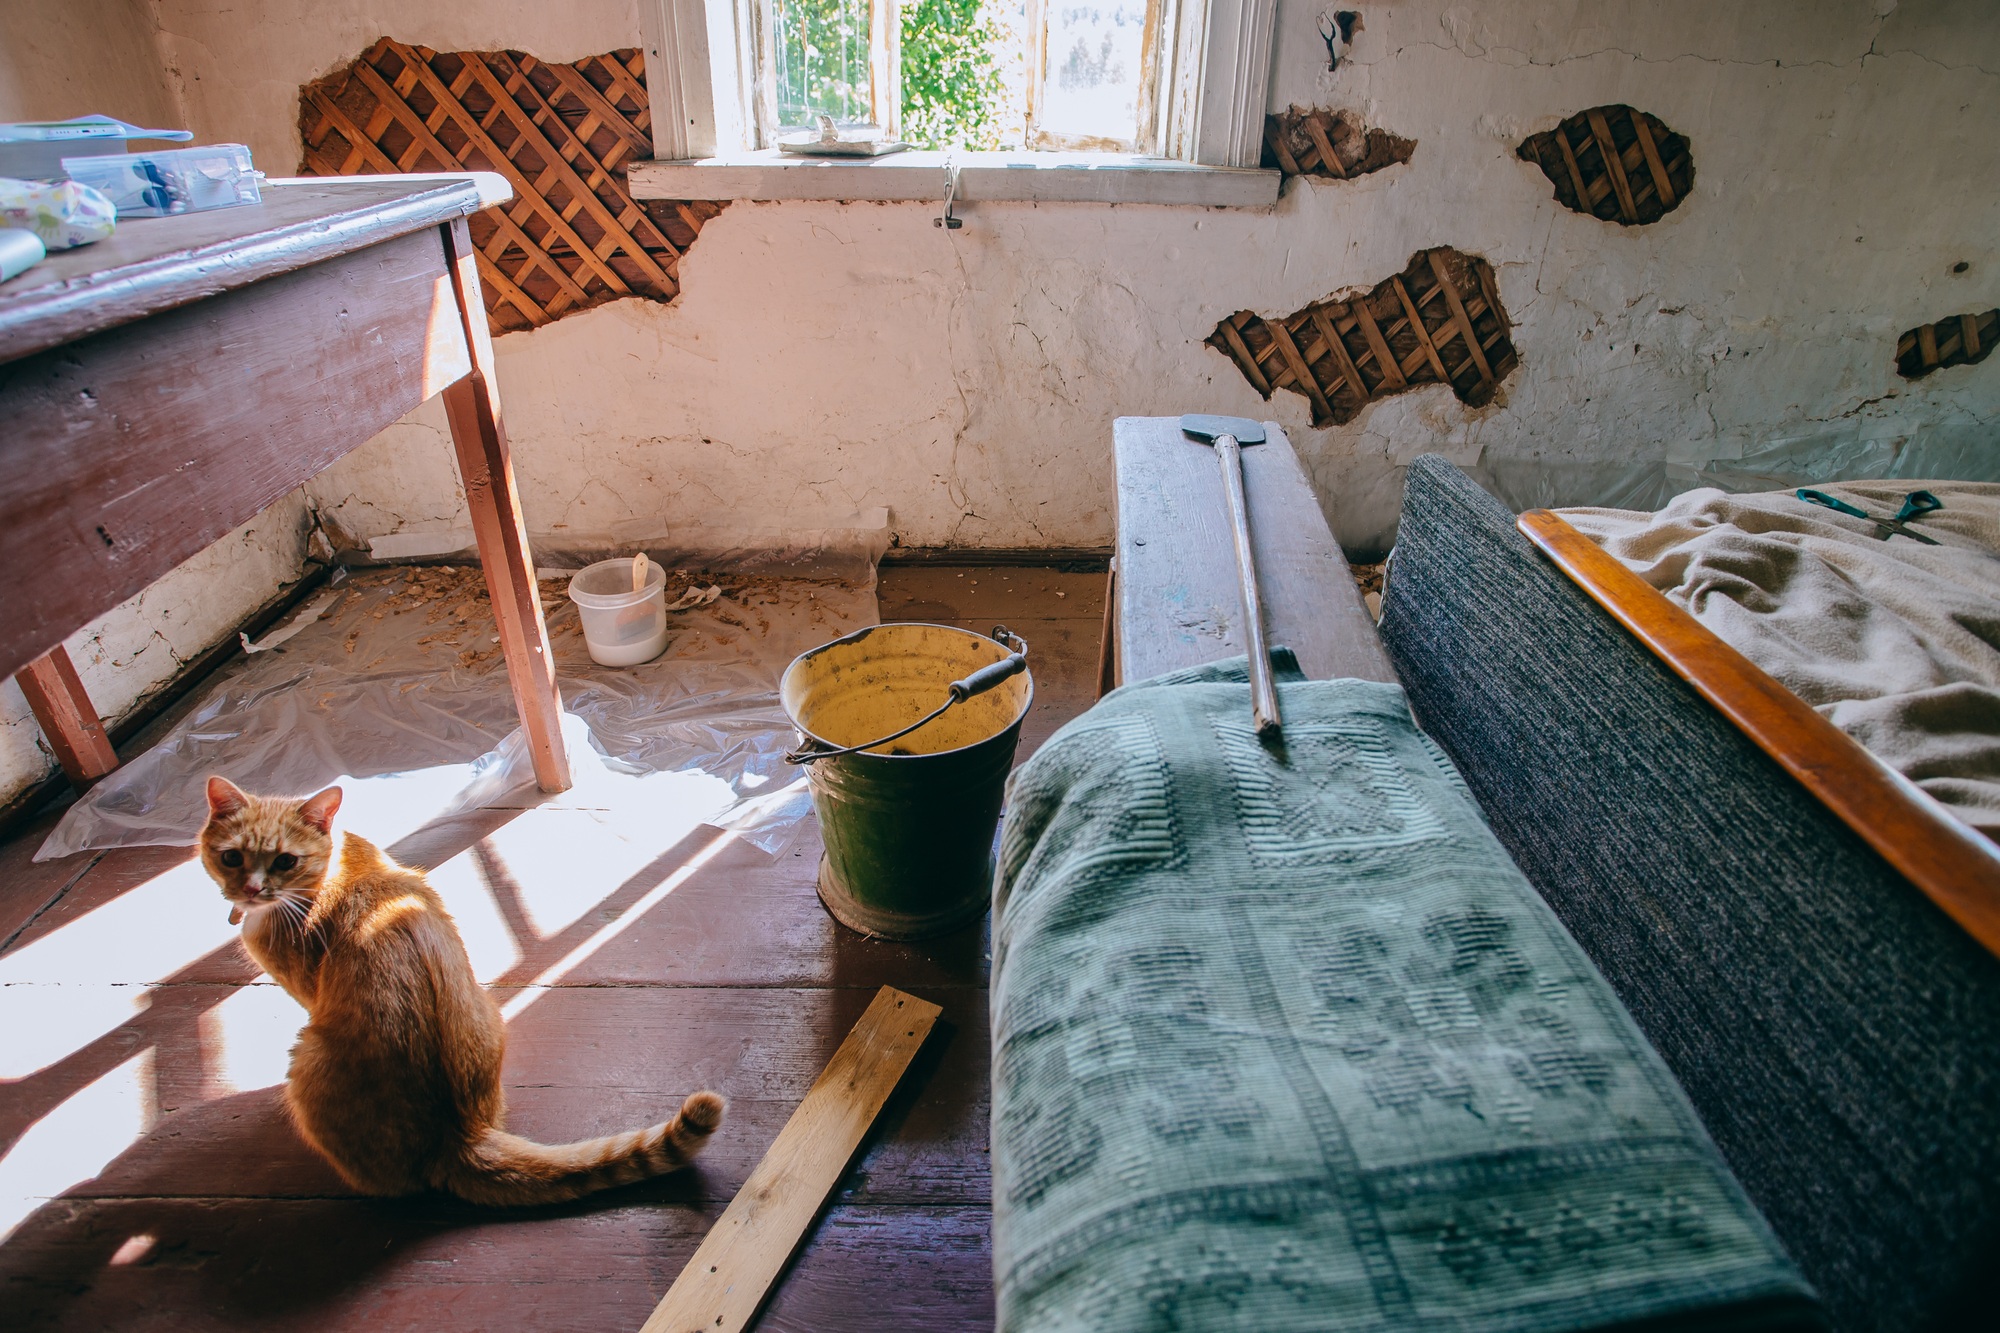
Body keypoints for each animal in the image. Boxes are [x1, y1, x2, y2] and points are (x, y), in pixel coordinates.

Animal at [195, 772, 724, 1200]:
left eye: (285, 861)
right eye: (231, 857)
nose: (250, 891)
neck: (335, 869)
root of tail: (457, 1136)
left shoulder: (303, 988)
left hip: (306, 1056)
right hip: (487, 1008)